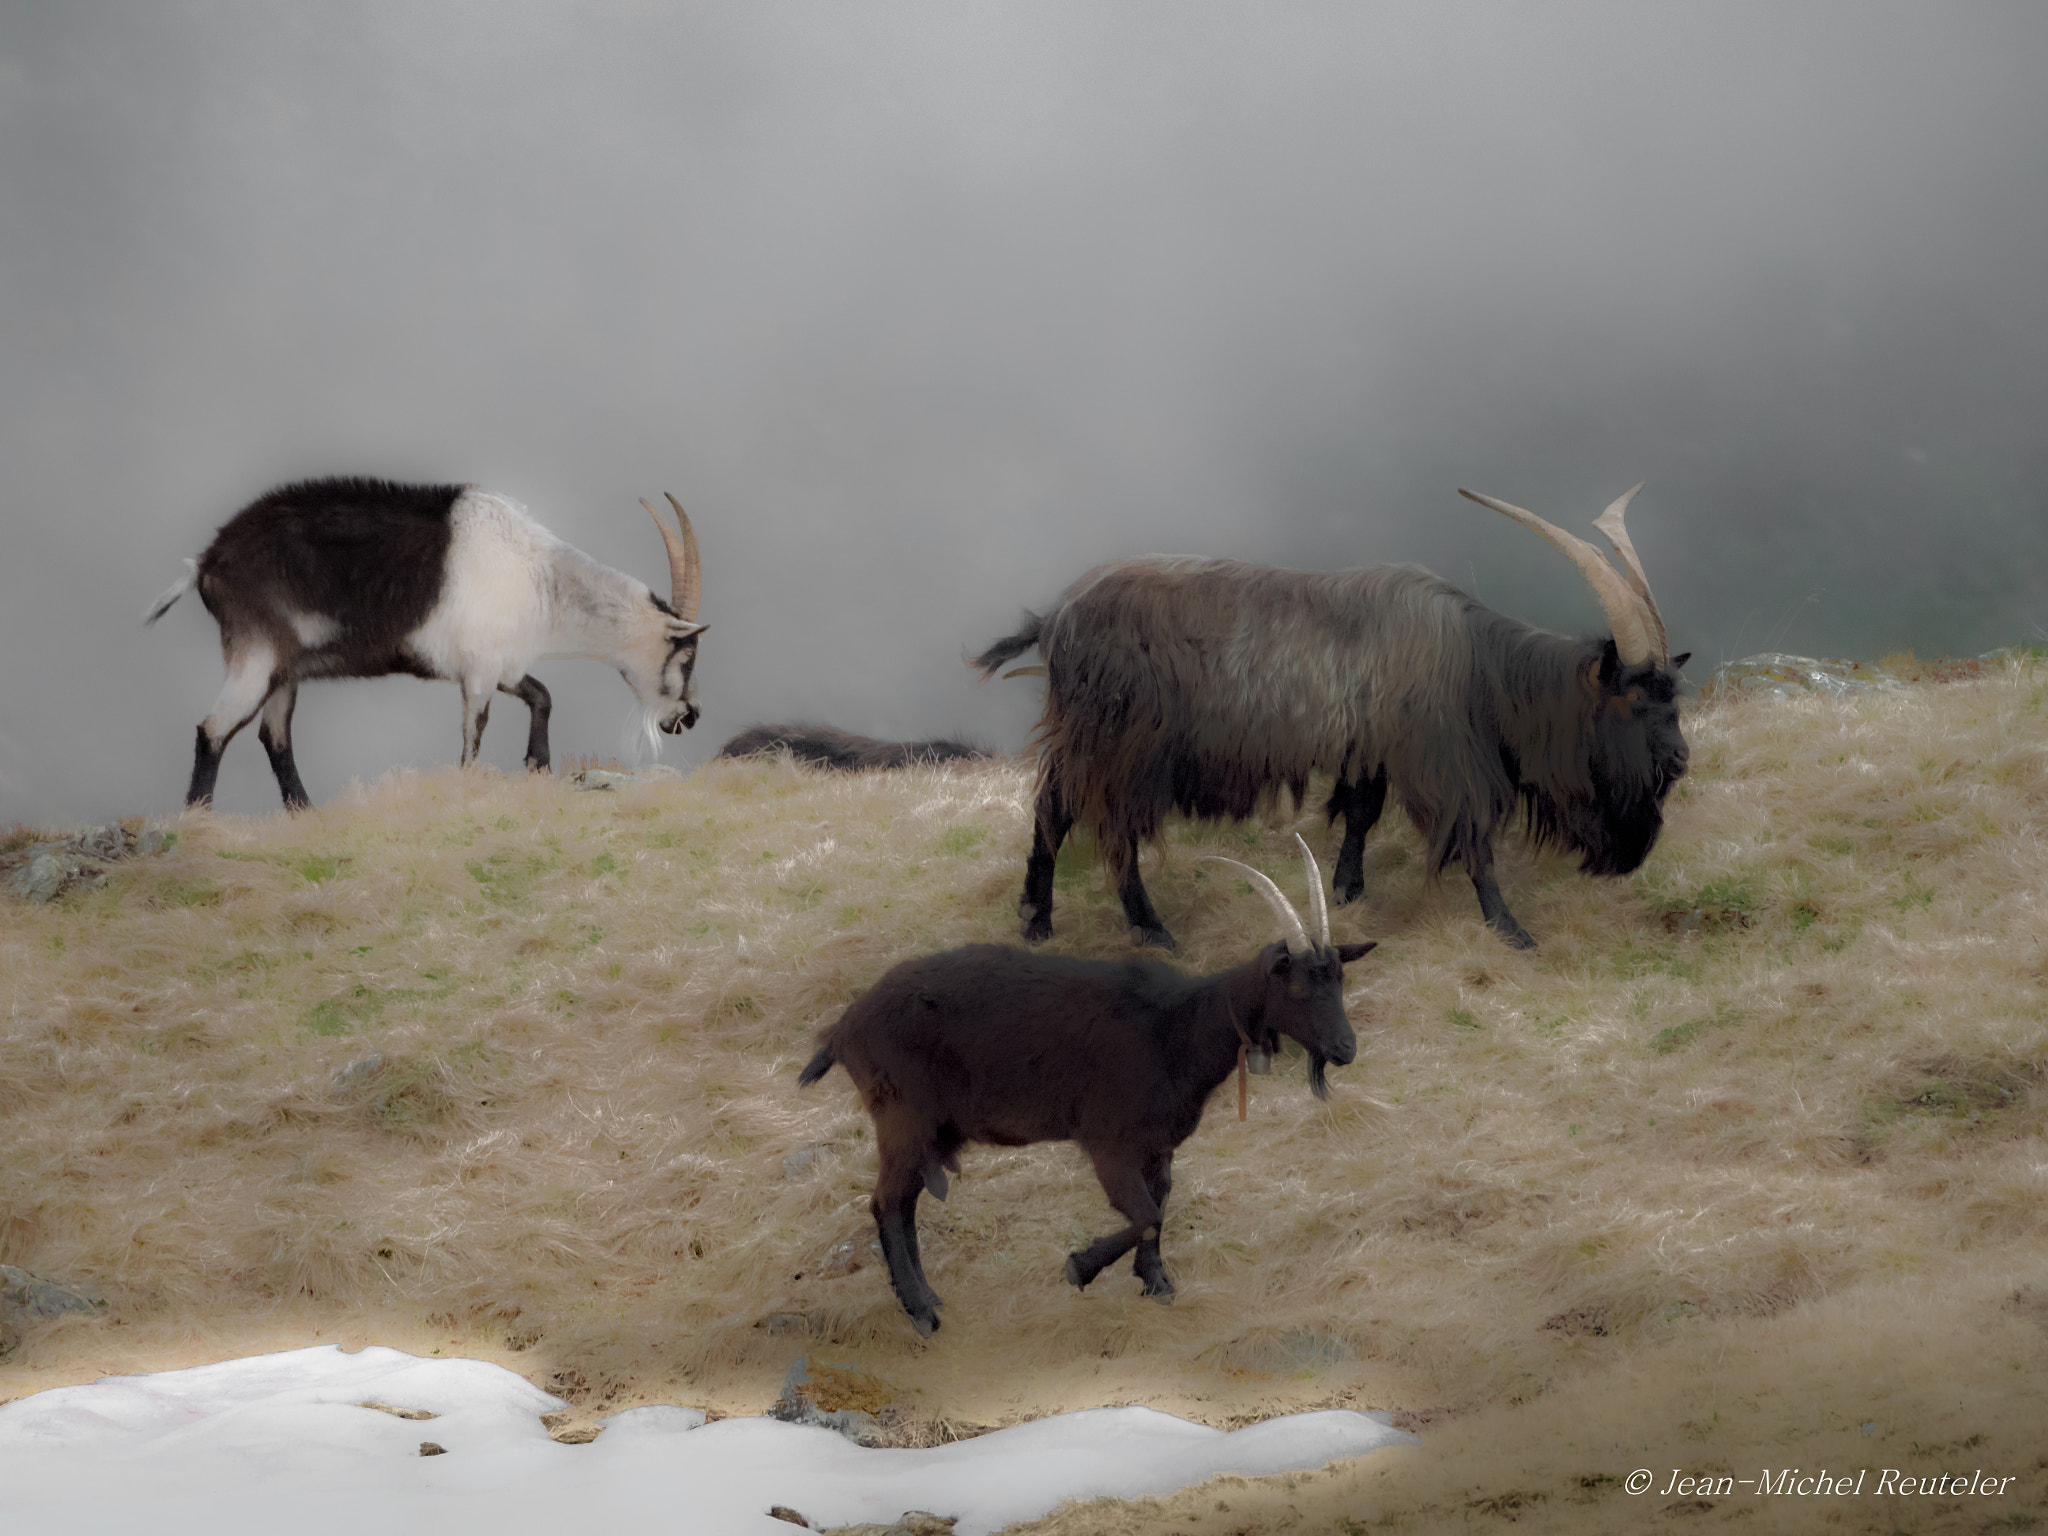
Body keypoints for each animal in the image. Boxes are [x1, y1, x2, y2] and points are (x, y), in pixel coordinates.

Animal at [144, 477, 707, 809]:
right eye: (687, 655)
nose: (688, 718)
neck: (540, 578)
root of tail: (208, 563)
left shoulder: (496, 666)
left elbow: (542, 695)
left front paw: (539, 766)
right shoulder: (478, 675)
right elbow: (473, 737)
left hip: (282, 670)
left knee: (274, 736)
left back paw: (305, 813)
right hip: (256, 657)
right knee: (213, 730)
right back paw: (199, 822)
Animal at [797, 835, 1372, 1336]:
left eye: (1340, 979)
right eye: (1296, 986)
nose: (1346, 1048)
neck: (1177, 1028)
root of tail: (843, 1027)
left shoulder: (1157, 1146)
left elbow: (1159, 1204)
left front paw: (1155, 1282)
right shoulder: (1109, 1143)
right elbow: (1144, 1214)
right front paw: (1081, 1267)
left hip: (930, 1131)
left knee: (905, 1205)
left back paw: (930, 1298)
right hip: (903, 1117)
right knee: (886, 1204)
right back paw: (921, 1314)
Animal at [973, 484, 1690, 950]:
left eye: (1673, 694)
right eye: (1636, 700)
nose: (1681, 758)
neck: (1476, 664)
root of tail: (1057, 616)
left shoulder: (1370, 748)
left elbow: (1361, 816)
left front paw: (1346, 892)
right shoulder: (1445, 762)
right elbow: (1473, 840)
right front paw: (1511, 930)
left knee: (1056, 808)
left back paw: (1037, 920)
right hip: (1120, 745)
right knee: (1101, 826)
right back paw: (1149, 931)